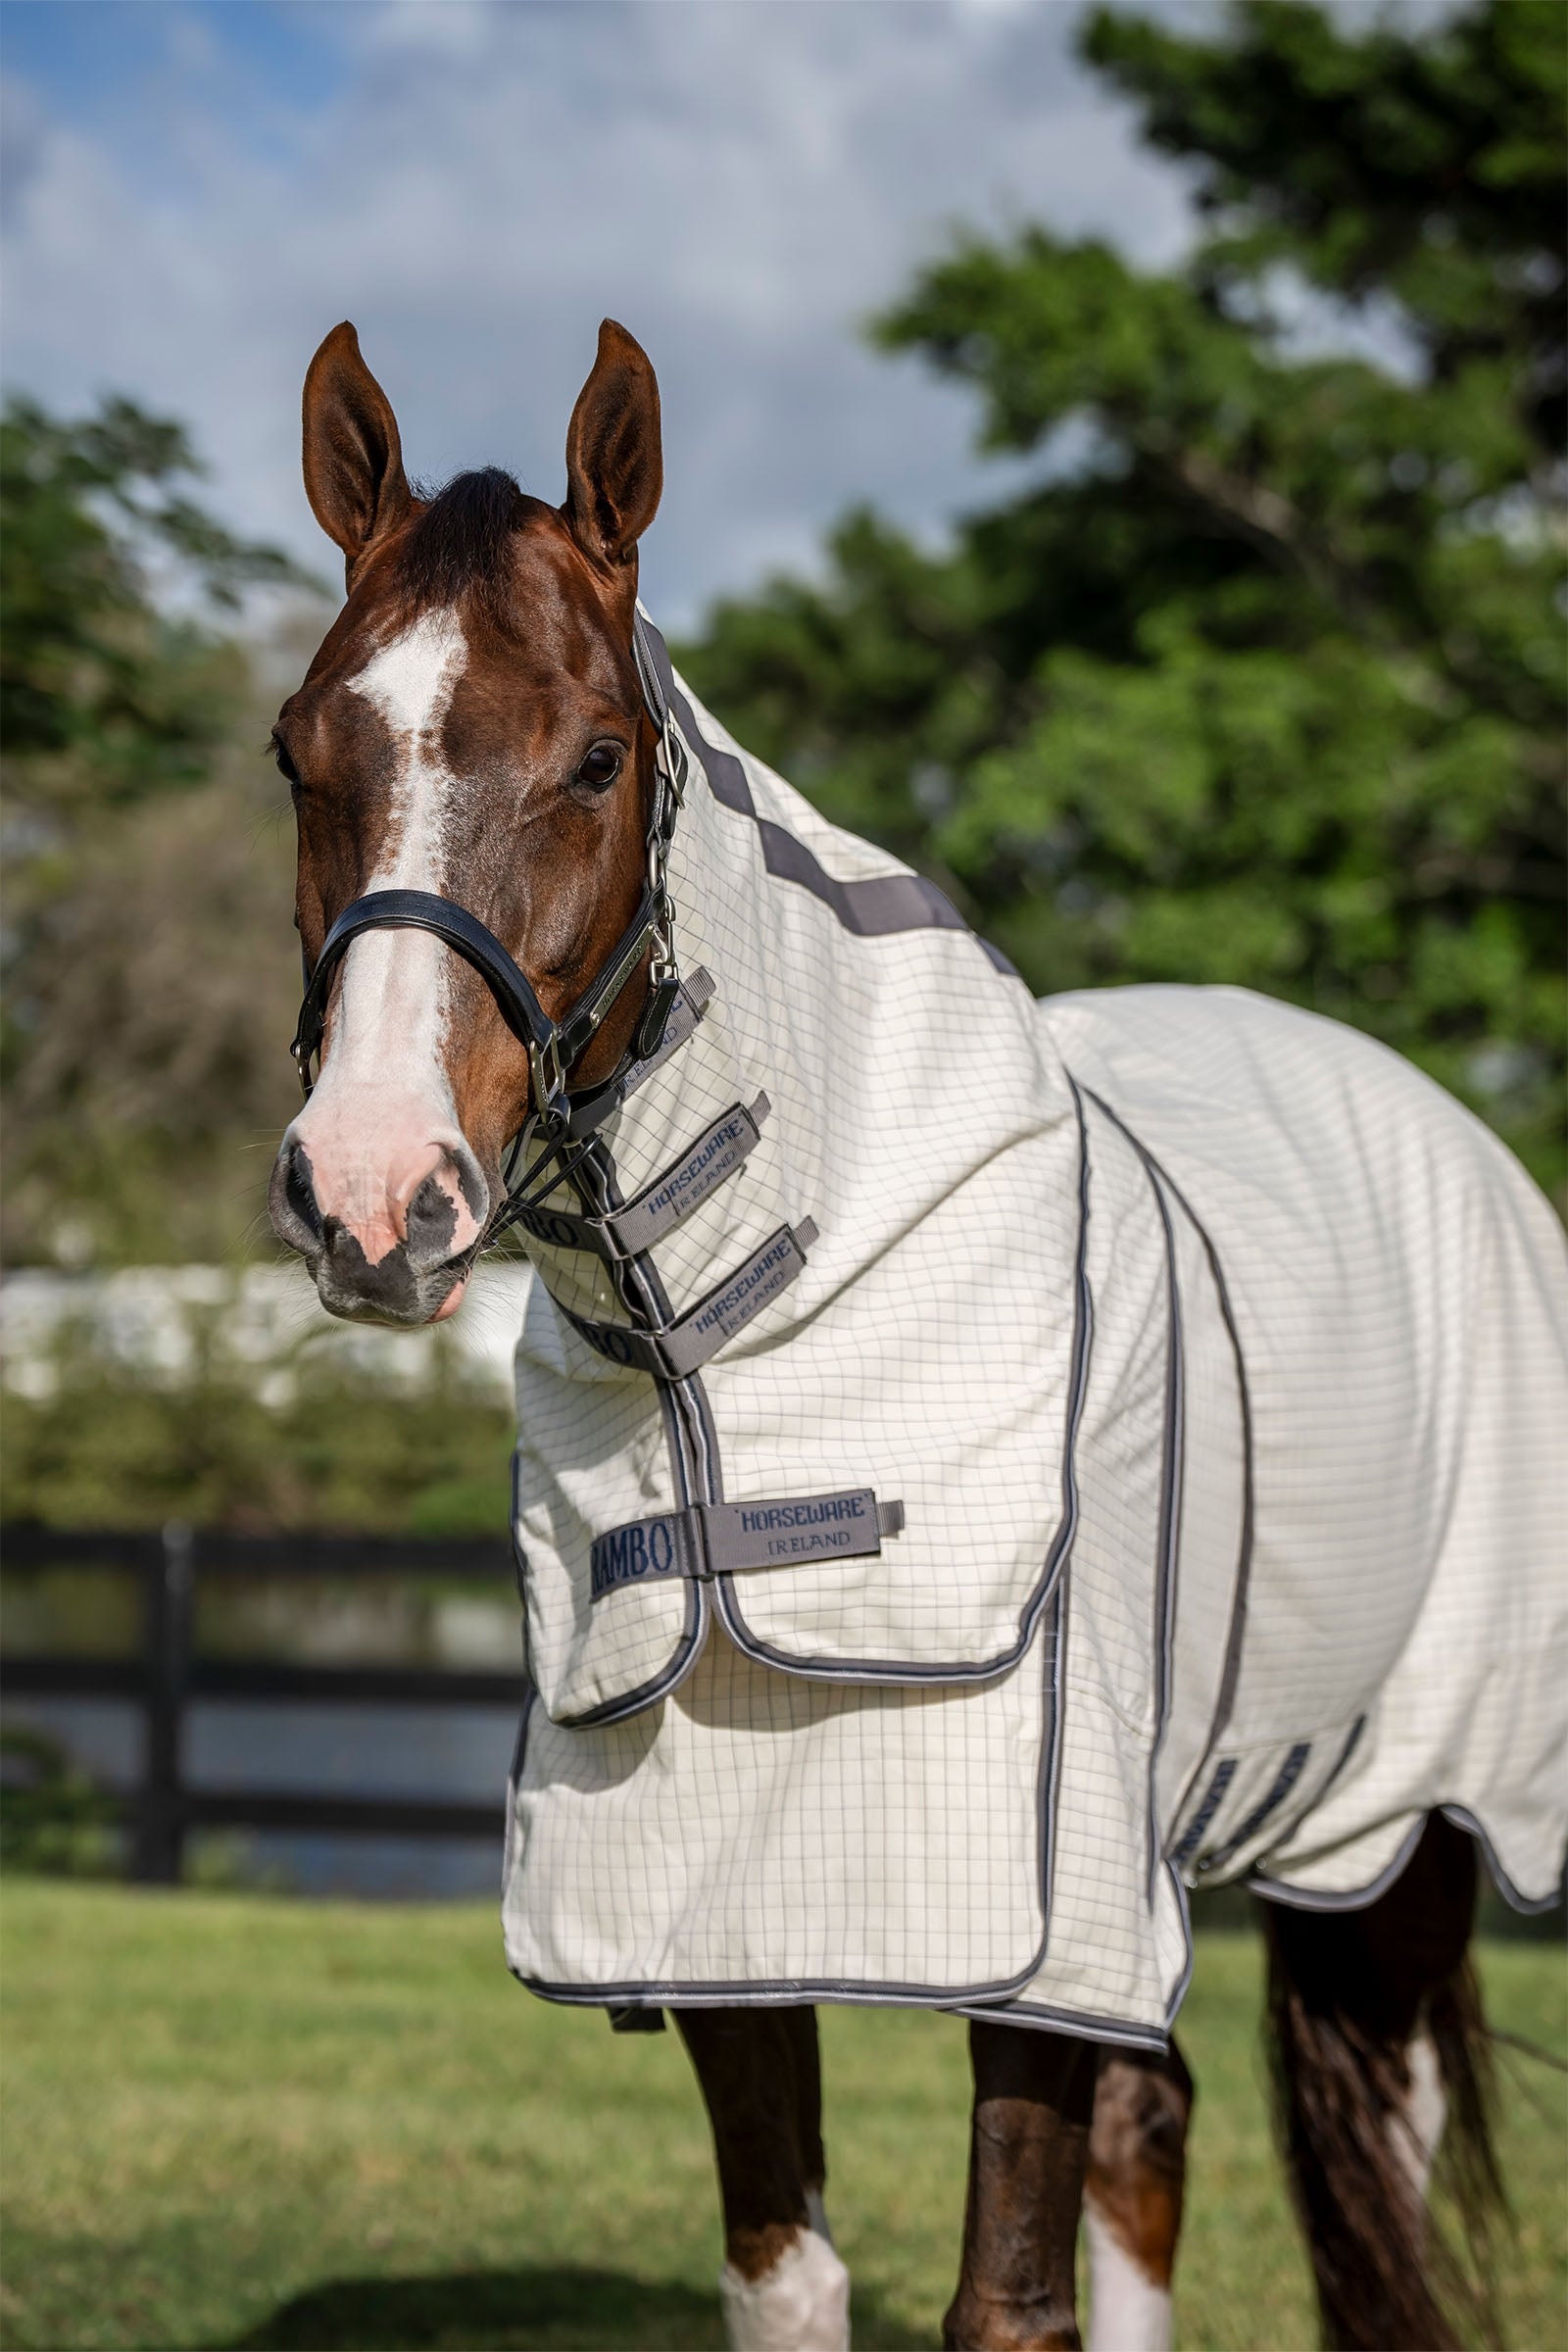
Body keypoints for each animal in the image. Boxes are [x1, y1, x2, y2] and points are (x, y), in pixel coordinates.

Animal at [266, 317, 1566, 2352]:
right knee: (1153, 2139)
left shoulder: (1036, 1919)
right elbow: (787, 2277)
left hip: (1396, 1847)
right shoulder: (730, 1914)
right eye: (296, 751)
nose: (371, 1187)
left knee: (1372, 2158)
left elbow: (1002, 2303)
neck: (750, 1330)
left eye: (595, 757)